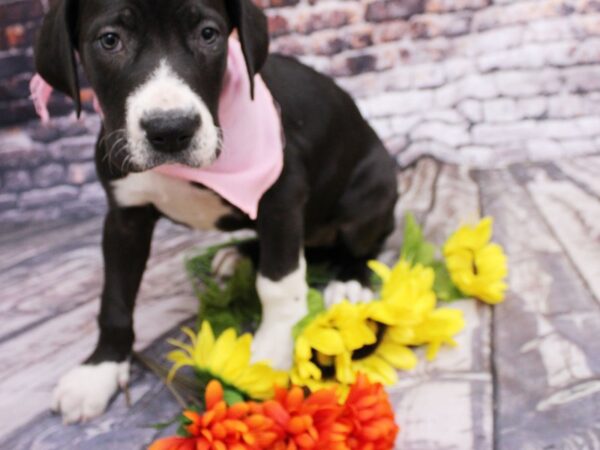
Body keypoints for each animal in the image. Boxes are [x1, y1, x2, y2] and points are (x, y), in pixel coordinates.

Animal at [35, 0, 396, 424]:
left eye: (208, 34)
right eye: (110, 40)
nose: (170, 130)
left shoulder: (281, 197)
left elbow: (278, 283)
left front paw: (267, 355)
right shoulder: (125, 216)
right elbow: (115, 299)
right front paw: (100, 370)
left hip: (371, 189)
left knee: (360, 245)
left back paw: (349, 281)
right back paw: (237, 255)